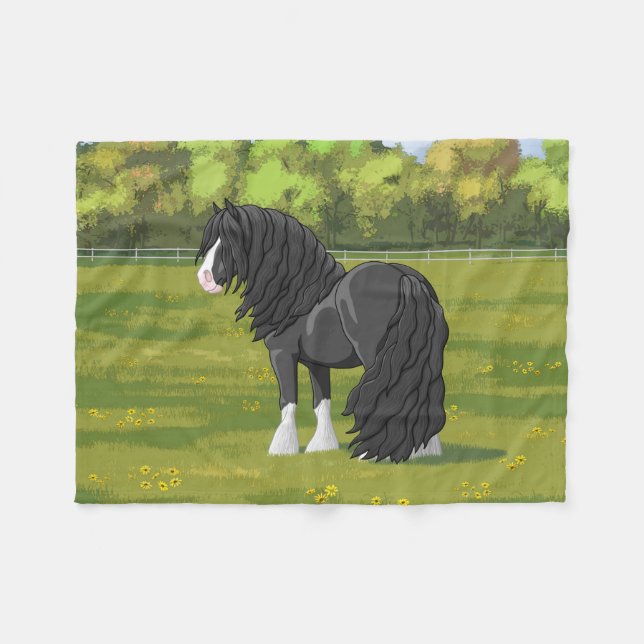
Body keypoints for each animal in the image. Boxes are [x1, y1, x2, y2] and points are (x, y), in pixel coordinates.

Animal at [196, 200, 449, 463]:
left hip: (375, 356)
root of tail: (405, 278)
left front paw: (282, 447)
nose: (205, 279)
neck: (299, 295)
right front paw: (322, 445)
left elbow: (288, 401)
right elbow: (321, 403)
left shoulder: (282, 354)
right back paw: (424, 450)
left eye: (230, 240)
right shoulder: (317, 363)